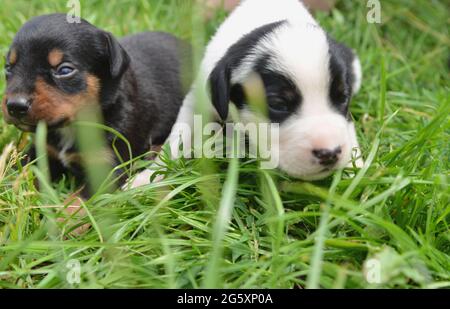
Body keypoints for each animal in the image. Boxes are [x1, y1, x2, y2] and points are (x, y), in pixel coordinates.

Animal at [0, 13, 190, 195]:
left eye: (65, 70)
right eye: (8, 68)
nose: (15, 106)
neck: (71, 127)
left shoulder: (108, 168)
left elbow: (77, 201)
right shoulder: (42, 152)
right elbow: (22, 178)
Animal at [130, 0, 362, 188]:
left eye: (343, 97)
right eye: (278, 104)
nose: (330, 153)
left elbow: (348, 130)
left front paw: (356, 173)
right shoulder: (199, 98)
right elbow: (179, 137)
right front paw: (149, 176)